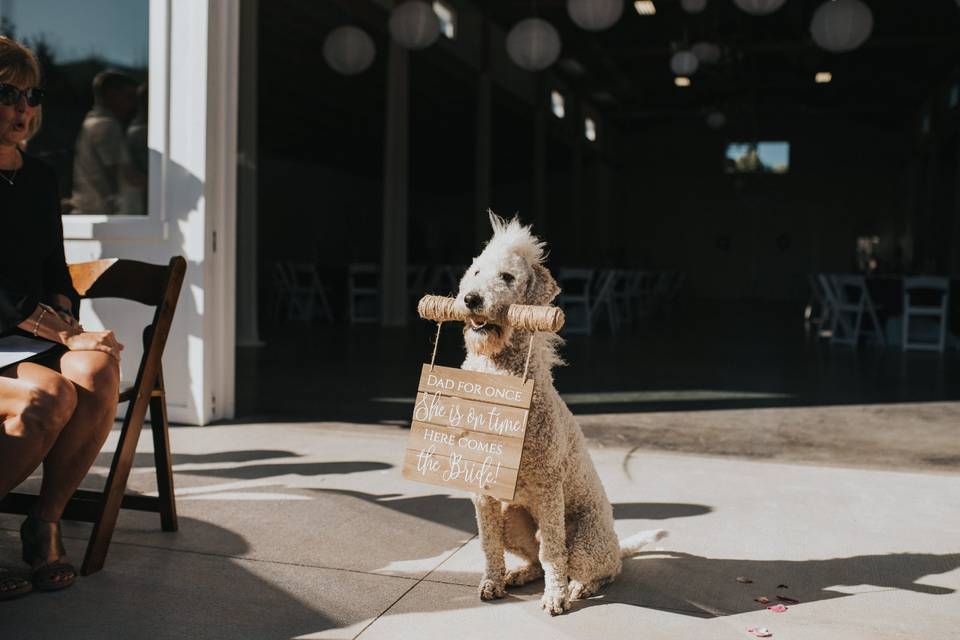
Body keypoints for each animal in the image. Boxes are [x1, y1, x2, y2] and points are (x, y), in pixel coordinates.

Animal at [452, 215, 664, 616]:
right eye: (475, 272)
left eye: (507, 277)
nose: (472, 299)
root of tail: (618, 545)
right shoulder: (484, 491)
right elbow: (488, 544)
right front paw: (491, 582)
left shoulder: (549, 488)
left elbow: (553, 552)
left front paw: (554, 598)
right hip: (513, 518)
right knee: (535, 558)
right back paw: (518, 575)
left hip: (585, 540)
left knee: (595, 569)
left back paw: (577, 587)